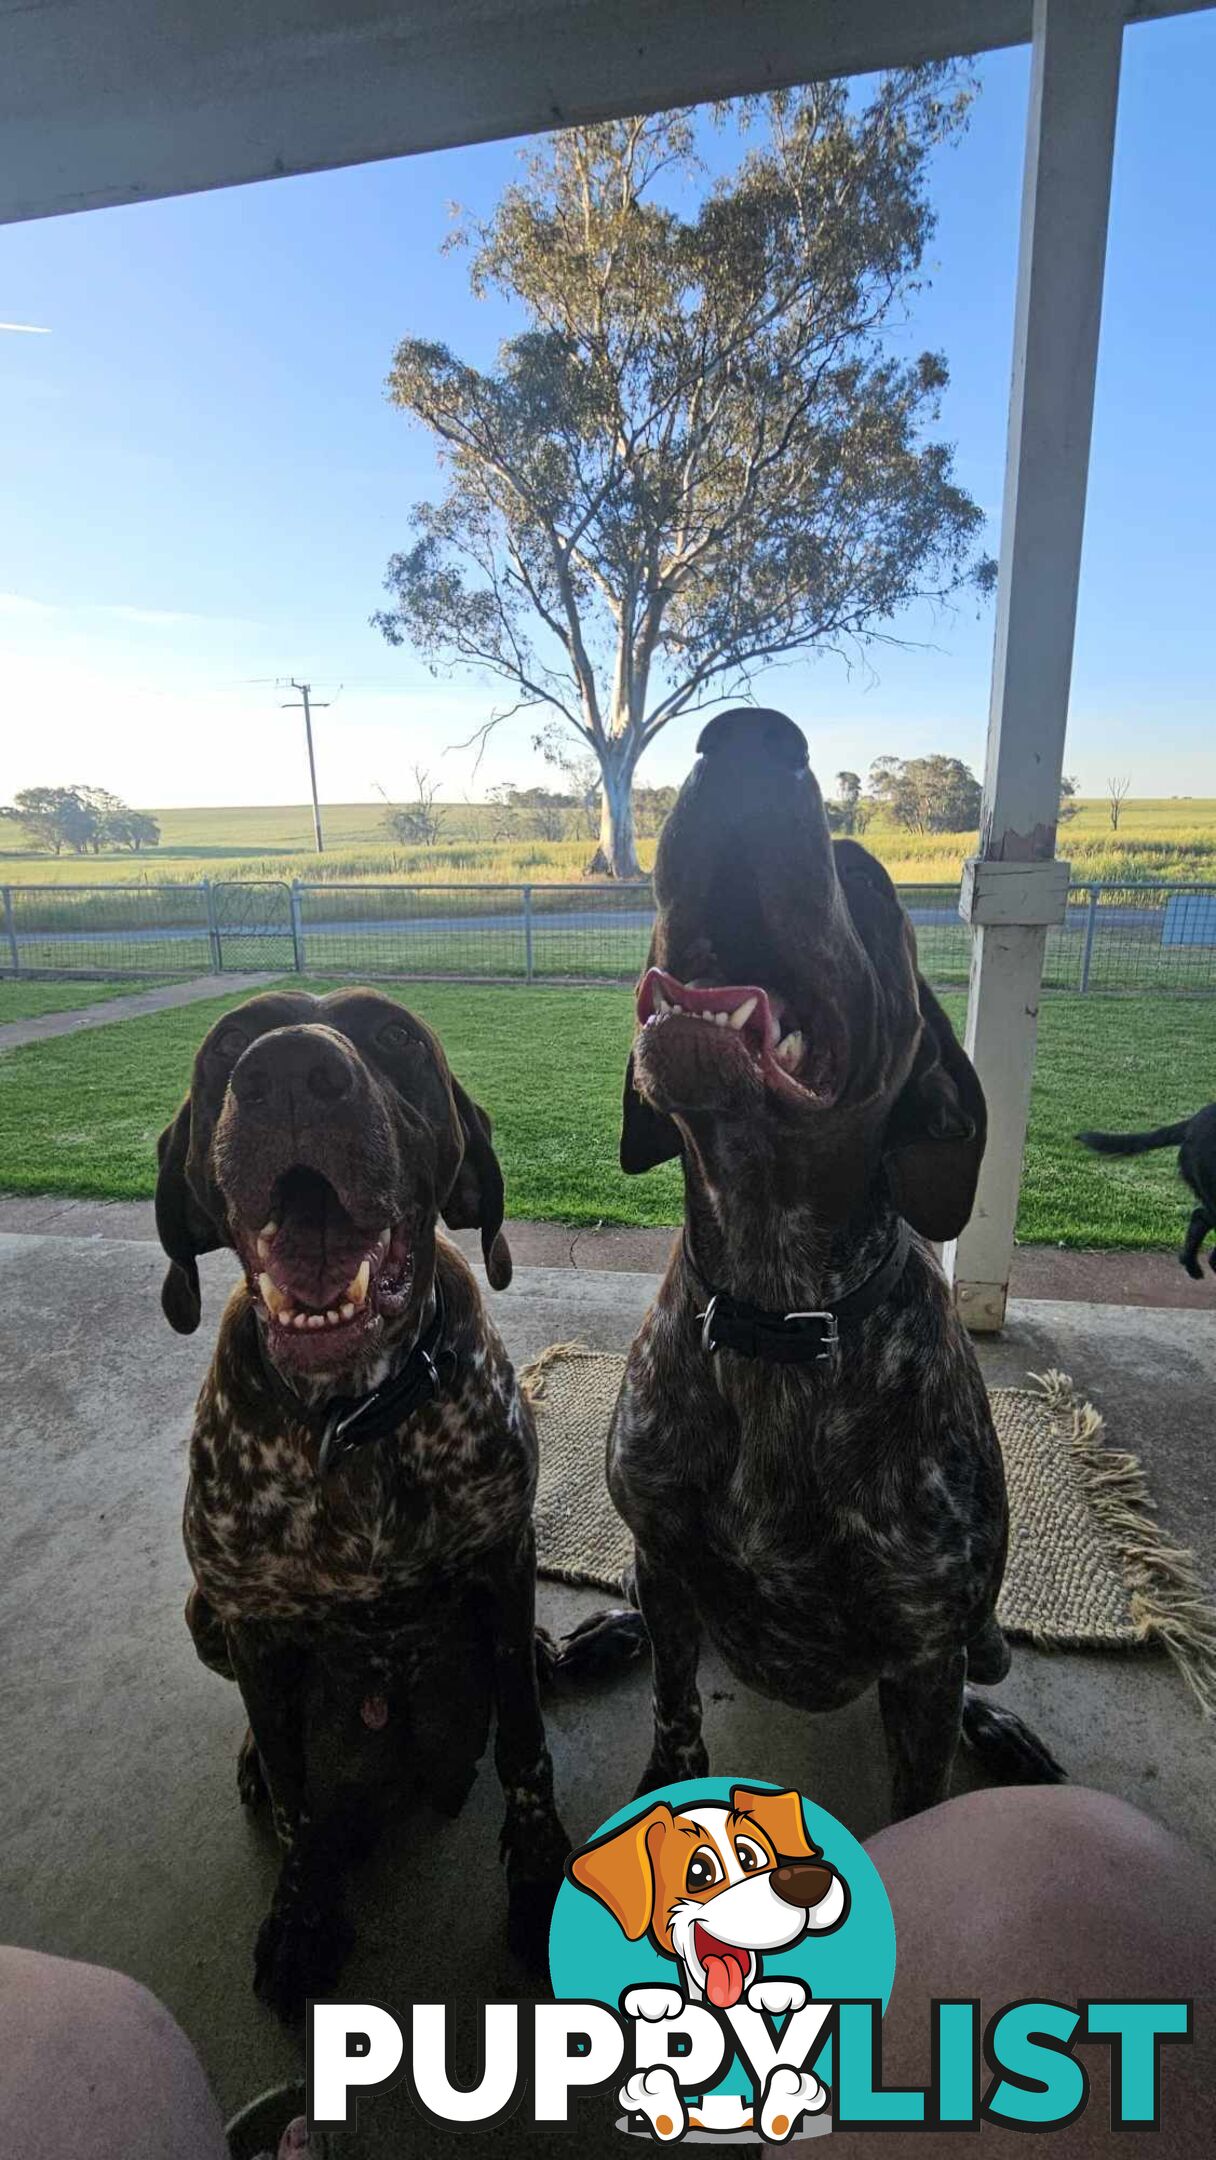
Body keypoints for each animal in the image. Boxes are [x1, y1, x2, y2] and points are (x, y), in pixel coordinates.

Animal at [154, 989, 570, 2013]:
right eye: (228, 1043)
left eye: (393, 1036)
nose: (291, 1072)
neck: (353, 1417)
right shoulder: (249, 1616)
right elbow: (298, 1807)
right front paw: (302, 1917)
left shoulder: (504, 1555)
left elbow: (526, 1748)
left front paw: (541, 1883)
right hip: (203, 1613)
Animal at [609, 712, 1066, 1823]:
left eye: (863, 878)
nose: (744, 733)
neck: (776, 1307)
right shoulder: (663, 1559)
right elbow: (673, 1708)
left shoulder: (925, 1647)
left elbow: (923, 1795)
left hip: (974, 1639)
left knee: (985, 1667)